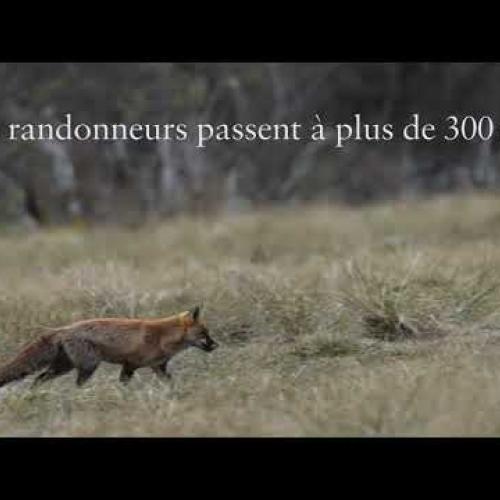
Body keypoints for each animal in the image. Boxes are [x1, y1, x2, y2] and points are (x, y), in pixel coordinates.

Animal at [0, 304, 217, 390]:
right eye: (204, 334)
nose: (216, 345)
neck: (162, 337)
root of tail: (63, 328)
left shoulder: (158, 367)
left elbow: (170, 382)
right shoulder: (130, 365)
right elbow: (124, 384)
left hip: (63, 367)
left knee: (38, 379)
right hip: (88, 366)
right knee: (74, 384)